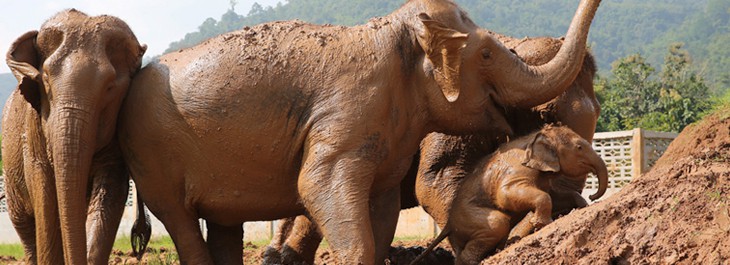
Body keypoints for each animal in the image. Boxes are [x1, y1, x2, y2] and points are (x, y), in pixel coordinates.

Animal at [1, 9, 146, 262]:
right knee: (25, 227)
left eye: (110, 88)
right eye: (45, 80)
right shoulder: (33, 125)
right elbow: (43, 186)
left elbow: (112, 187)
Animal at [412, 125, 604, 262]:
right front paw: (543, 224)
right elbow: (506, 195)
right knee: (498, 222)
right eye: (579, 147)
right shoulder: (517, 170)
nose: (593, 196)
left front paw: (582, 206)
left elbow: (554, 195)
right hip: (470, 217)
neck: (536, 135)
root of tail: (448, 225)